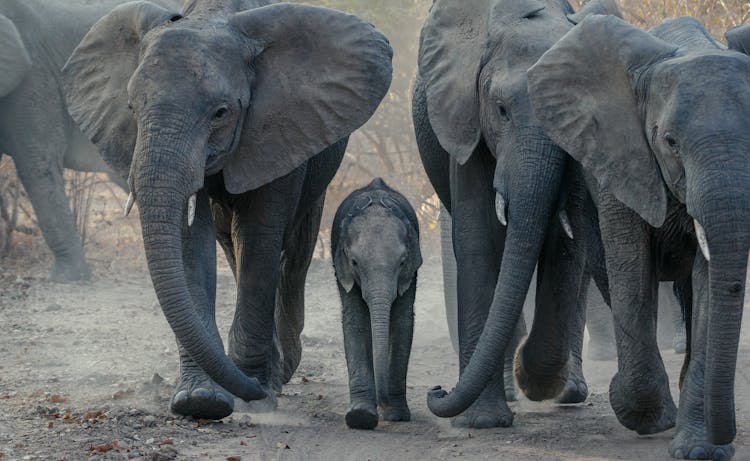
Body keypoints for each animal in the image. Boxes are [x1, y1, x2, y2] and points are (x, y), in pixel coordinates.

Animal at [63, 0, 394, 418]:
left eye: (220, 113)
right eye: (131, 108)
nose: (249, 389)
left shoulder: (280, 126)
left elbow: (260, 237)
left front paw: (256, 394)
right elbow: (191, 243)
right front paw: (200, 400)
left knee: (293, 254)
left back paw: (280, 372)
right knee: (232, 245)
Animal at [334, 178, 424, 430]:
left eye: (402, 262)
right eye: (354, 262)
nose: (381, 402)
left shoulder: (410, 272)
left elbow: (403, 322)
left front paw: (397, 416)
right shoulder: (344, 271)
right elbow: (355, 321)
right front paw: (360, 417)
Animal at [412, 0, 624, 428]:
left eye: (563, 115)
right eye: (501, 110)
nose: (436, 390)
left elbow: (566, 243)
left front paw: (534, 377)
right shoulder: (467, 120)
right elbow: (477, 239)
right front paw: (482, 421)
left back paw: (564, 390)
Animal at [528, 12, 750, 458]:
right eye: (670, 142)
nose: (726, 434)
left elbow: (708, 284)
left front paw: (700, 449)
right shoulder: (619, 156)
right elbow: (631, 268)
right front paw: (646, 417)